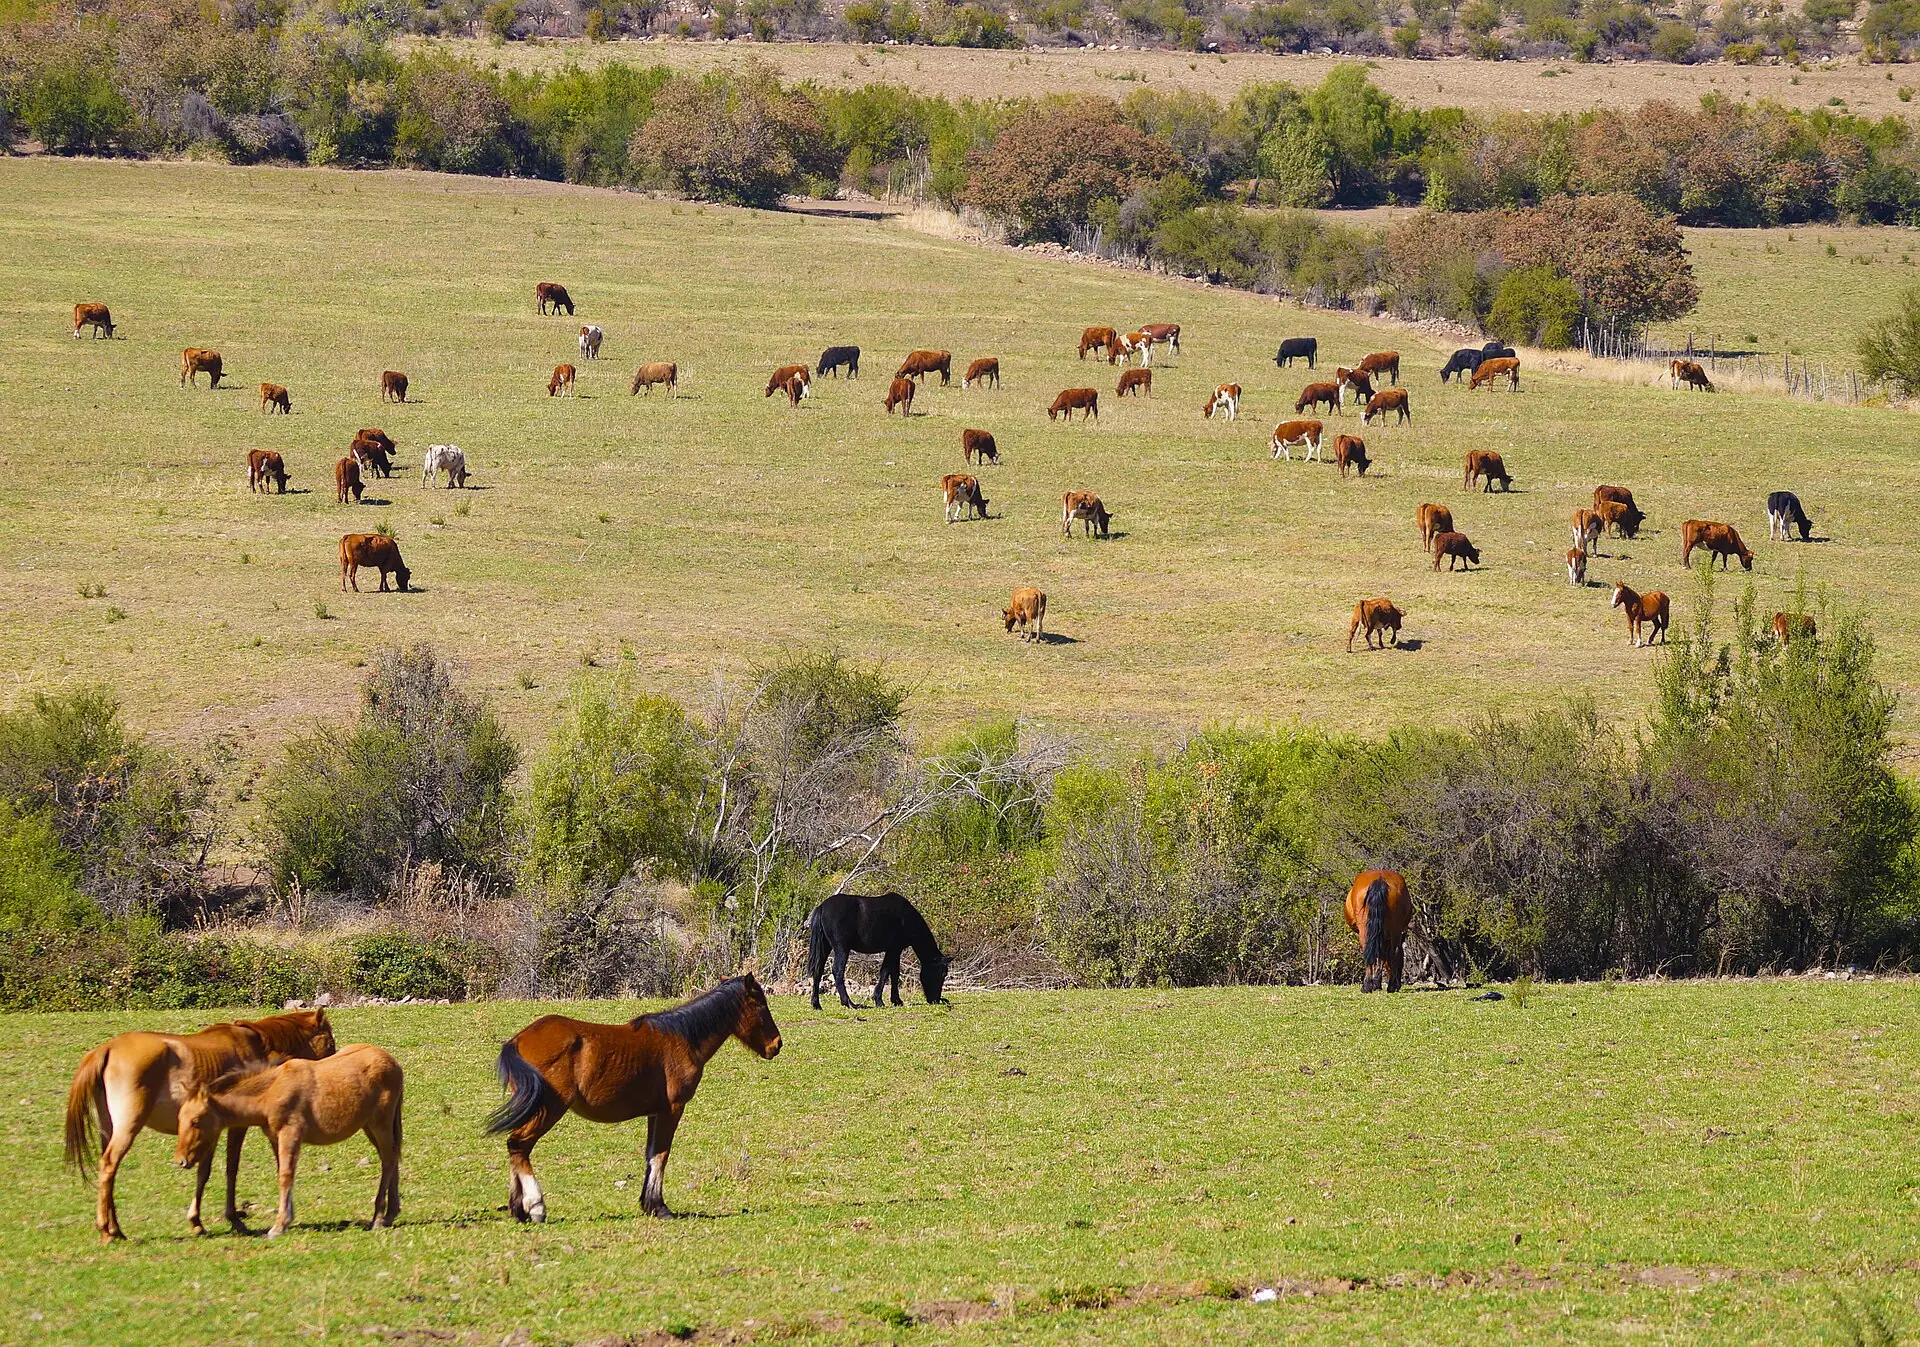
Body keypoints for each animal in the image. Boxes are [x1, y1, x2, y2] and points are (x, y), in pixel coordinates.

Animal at [64, 1009, 336, 1242]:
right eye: (330, 1041)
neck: (257, 1045)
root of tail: (107, 1048)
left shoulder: (210, 1131)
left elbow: (203, 1172)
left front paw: (197, 1222)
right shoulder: (236, 1127)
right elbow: (231, 1168)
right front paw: (233, 1219)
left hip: (108, 1130)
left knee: (107, 1173)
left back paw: (115, 1229)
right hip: (128, 1127)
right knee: (109, 1165)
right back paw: (107, 1231)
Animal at [174, 1044, 403, 1239]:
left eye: (195, 1121)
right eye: (180, 1119)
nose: (181, 1160)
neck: (271, 1091)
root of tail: (393, 1063)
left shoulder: (290, 1133)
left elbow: (285, 1175)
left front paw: (278, 1226)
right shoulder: (275, 1137)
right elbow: (284, 1173)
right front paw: (286, 1220)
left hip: (379, 1124)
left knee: (389, 1160)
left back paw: (378, 1218)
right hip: (369, 1127)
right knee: (392, 1157)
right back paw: (390, 1214)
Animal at [486, 975, 781, 1222]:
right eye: (760, 1004)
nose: (777, 1044)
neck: (683, 1038)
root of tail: (517, 1040)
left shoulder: (655, 1112)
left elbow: (651, 1155)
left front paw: (648, 1204)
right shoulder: (672, 1110)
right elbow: (661, 1154)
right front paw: (659, 1207)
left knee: (515, 1147)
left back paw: (518, 1209)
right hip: (550, 1108)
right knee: (519, 1145)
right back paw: (536, 1207)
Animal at [807, 891, 951, 1010]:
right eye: (942, 974)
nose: (935, 1000)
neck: (907, 918)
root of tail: (822, 907)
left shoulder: (896, 950)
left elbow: (894, 973)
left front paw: (897, 1000)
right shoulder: (894, 949)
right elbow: (886, 972)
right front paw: (879, 1000)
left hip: (825, 946)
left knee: (818, 971)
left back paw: (816, 1004)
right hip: (841, 948)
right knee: (837, 971)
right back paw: (849, 1003)